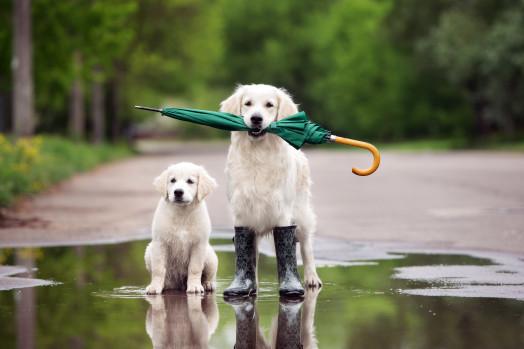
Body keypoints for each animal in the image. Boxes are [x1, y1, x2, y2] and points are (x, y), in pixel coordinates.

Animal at [144, 162, 218, 292]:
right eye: (172, 180)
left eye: (190, 181)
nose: (178, 192)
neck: (182, 213)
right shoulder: (160, 242)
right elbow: (158, 269)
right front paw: (154, 287)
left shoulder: (199, 244)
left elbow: (195, 268)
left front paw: (194, 286)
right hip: (149, 251)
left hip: (210, 257)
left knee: (209, 275)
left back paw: (207, 284)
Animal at [220, 83, 320, 296]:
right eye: (248, 103)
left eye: (269, 105)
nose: (256, 118)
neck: (258, 153)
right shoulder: (242, 211)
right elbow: (247, 252)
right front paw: (246, 285)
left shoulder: (282, 211)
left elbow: (287, 247)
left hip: (302, 214)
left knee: (306, 247)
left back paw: (311, 278)